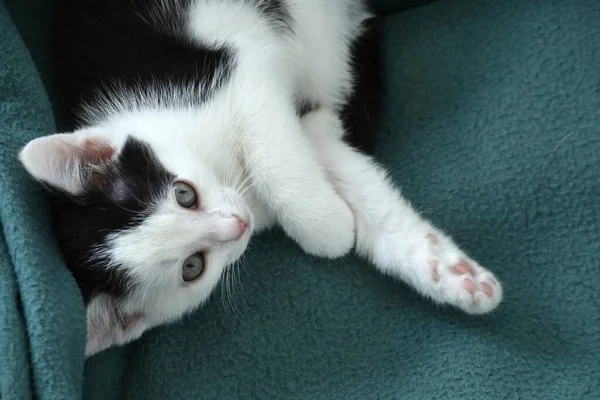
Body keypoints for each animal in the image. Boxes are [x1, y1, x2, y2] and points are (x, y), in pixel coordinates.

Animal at [17, 0, 502, 356]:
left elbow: (277, 152)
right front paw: (451, 274)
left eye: (183, 194)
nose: (238, 224)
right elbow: (341, 170)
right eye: (193, 267)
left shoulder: (239, 75)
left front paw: (326, 224)